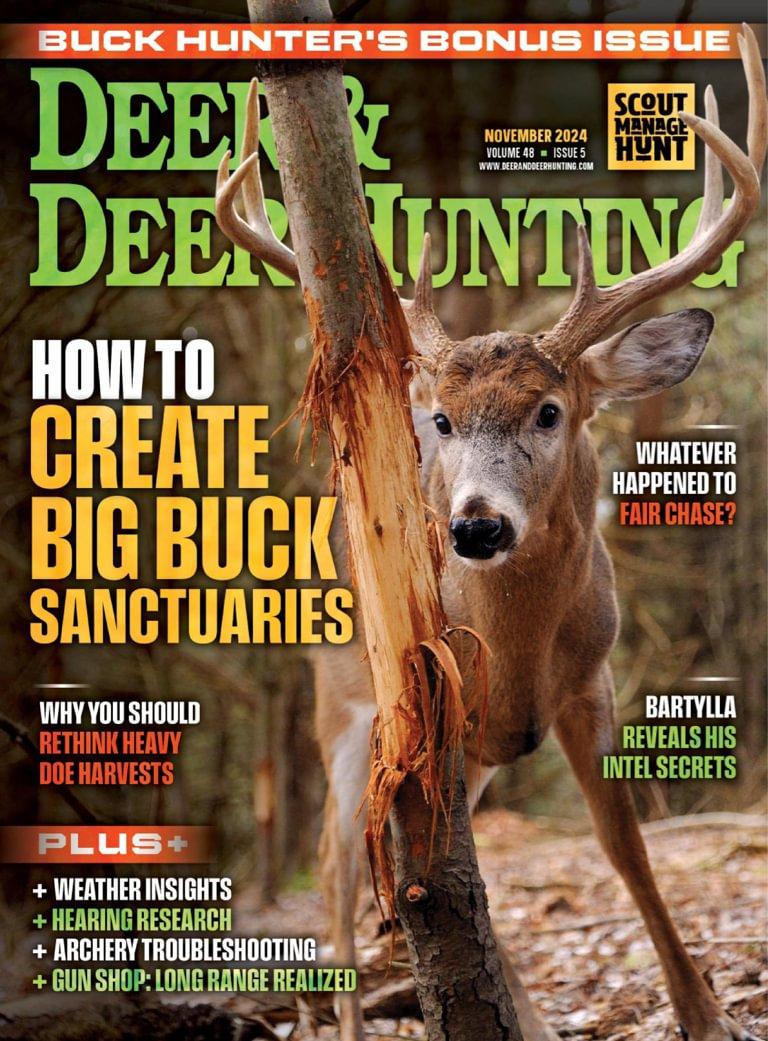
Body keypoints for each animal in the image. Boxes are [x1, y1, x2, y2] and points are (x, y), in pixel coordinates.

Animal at [216, 24, 765, 1041]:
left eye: (550, 410)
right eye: (438, 420)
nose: (474, 525)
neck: (513, 654)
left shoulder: (592, 681)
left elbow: (622, 846)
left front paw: (706, 1014)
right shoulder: (429, 715)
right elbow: (431, 879)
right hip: (341, 701)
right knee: (339, 865)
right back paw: (350, 1017)